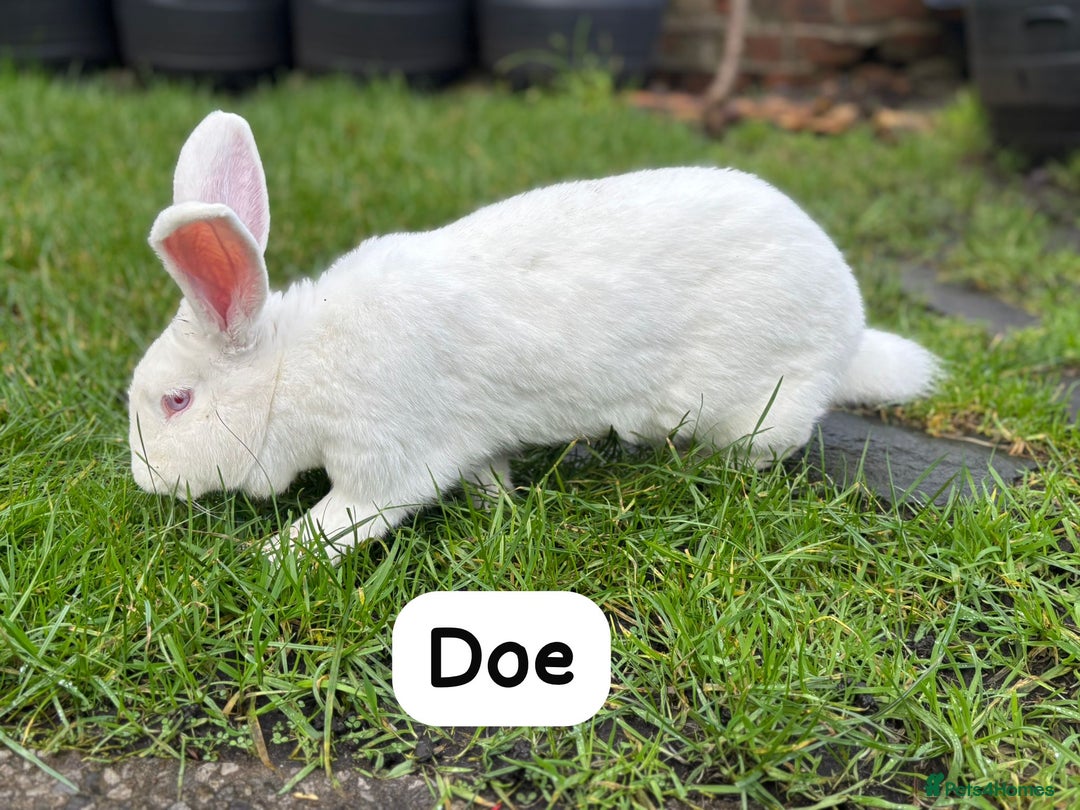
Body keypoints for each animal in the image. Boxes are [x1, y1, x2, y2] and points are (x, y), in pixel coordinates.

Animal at [128, 110, 939, 561]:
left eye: (177, 401)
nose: (144, 481)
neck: (296, 368)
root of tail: (850, 332)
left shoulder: (382, 461)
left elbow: (349, 518)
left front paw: (277, 554)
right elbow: (488, 472)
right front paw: (501, 508)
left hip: (762, 408)